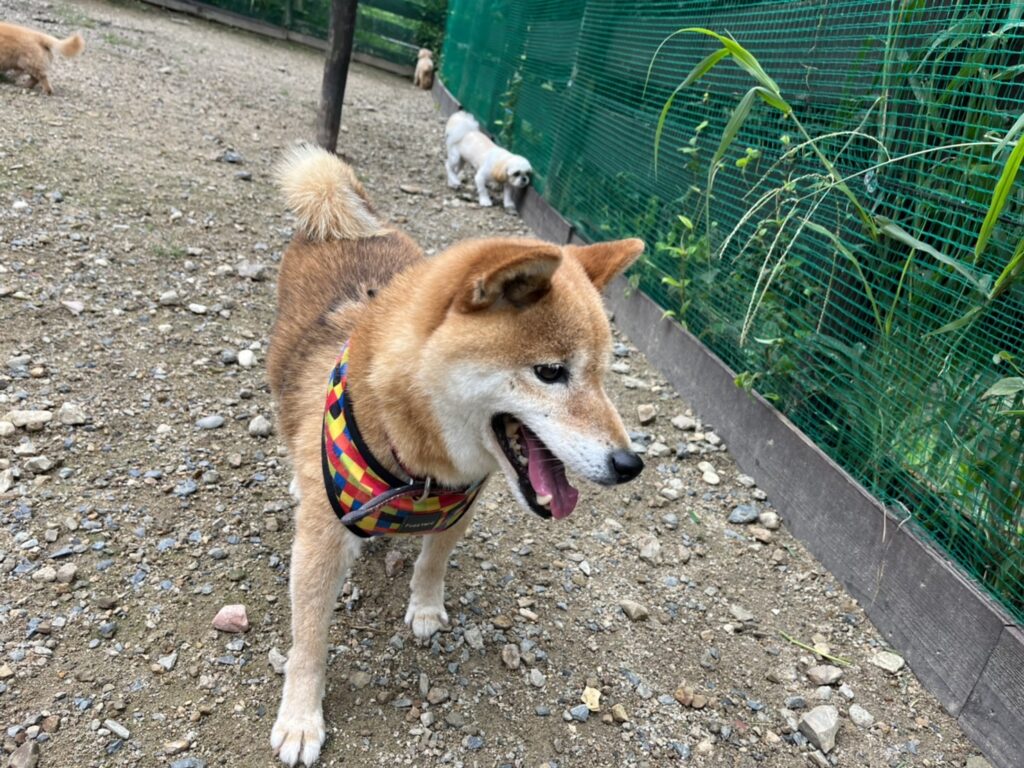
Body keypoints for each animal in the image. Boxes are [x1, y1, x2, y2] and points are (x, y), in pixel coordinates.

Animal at [267, 144, 645, 766]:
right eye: (550, 372)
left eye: (601, 375)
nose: (630, 465)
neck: (420, 464)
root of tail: (339, 218)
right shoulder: (322, 543)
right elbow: (310, 639)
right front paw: (300, 718)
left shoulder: (461, 505)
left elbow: (433, 562)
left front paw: (424, 607)